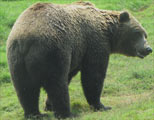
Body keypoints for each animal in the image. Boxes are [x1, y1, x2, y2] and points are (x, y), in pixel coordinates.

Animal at [6, 1, 152, 119]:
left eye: (145, 34)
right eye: (137, 33)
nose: (148, 48)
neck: (108, 31)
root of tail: (26, 40)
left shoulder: (76, 53)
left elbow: (71, 75)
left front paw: (48, 105)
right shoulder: (94, 44)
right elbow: (93, 76)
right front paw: (101, 105)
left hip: (16, 61)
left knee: (25, 89)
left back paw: (35, 114)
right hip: (53, 50)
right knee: (57, 84)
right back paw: (67, 113)